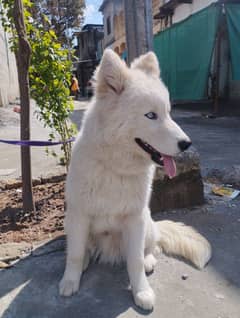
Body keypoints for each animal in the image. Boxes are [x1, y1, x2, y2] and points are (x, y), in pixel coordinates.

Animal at [59, 50, 211, 310]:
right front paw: (70, 281)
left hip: (147, 223)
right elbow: (75, 254)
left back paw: (149, 260)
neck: (115, 167)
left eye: (168, 112)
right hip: (72, 224)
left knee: (152, 247)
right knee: (83, 248)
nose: (186, 144)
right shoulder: (79, 215)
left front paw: (142, 292)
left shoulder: (135, 219)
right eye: (151, 115)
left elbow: (135, 261)